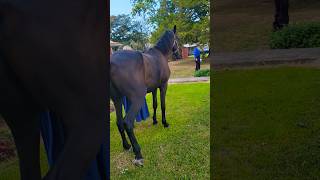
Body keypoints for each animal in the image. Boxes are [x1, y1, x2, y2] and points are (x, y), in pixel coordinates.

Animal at [111, 25, 179, 166]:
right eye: (177, 39)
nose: (178, 54)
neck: (160, 54)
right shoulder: (163, 85)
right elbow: (163, 105)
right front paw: (164, 123)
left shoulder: (154, 88)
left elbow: (155, 104)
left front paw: (154, 120)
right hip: (137, 99)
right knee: (127, 122)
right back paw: (137, 153)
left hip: (117, 99)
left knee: (119, 122)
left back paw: (126, 145)